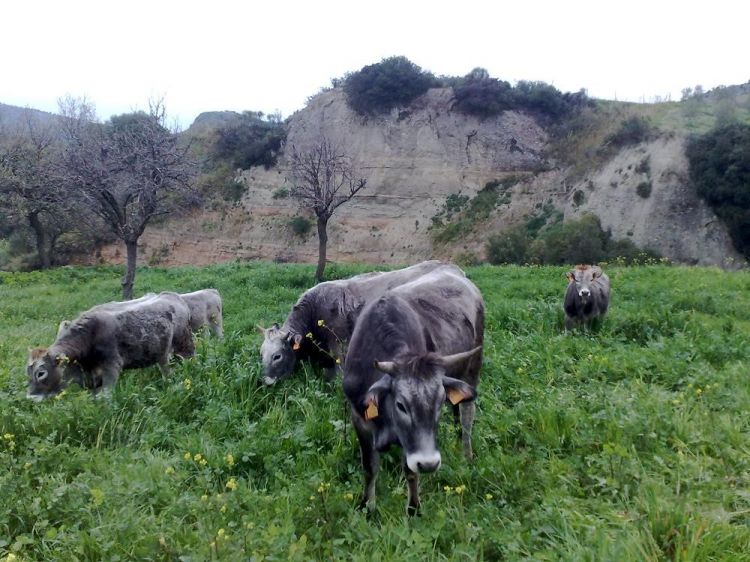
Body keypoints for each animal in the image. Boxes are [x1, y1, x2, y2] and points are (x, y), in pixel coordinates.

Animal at [27, 288, 194, 398]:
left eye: (41, 373)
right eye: (27, 372)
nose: (31, 397)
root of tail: (173, 296)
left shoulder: (112, 366)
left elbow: (105, 396)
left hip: (184, 344)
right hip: (162, 353)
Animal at [344, 264, 484, 516]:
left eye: (438, 404)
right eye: (401, 405)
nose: (429, 464)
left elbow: (410, 471)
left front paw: (413, 509)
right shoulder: (358, 416)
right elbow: (369, 468)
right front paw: (367, 506)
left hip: (473, 368)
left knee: (467, 415)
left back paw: (466, 456)